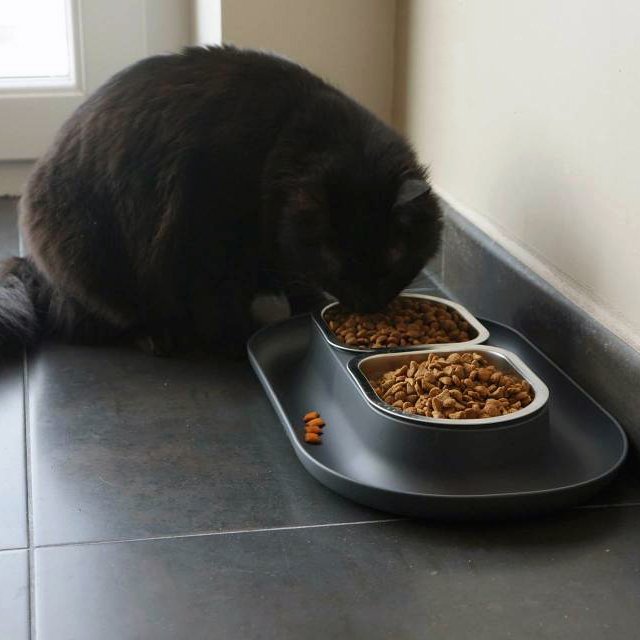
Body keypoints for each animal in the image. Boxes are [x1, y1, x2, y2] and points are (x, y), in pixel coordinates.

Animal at [0, 45, 440, 356]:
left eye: (392, 259)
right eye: (335, 259)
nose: (368, 304)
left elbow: (294, 283)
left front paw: (306, 308)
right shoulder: (208, 242)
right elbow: (222, 305)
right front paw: (241, 339)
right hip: (94, 263)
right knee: (99, 319)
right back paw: (158, 337)